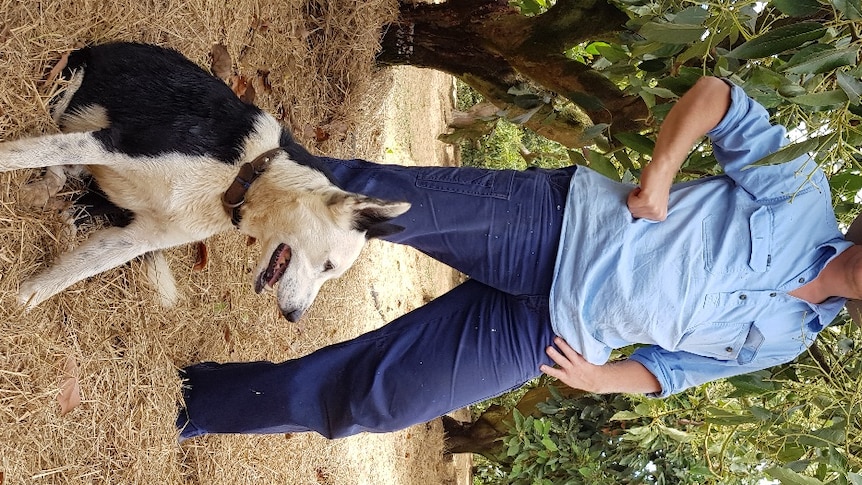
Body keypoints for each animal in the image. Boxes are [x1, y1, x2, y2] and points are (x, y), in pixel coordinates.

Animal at [0, 42, 412, 322]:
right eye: (328, 266)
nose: (295, 318)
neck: (244, 176)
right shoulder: (111, 144)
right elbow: (21, 156)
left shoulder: (137, 238)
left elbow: (62, 278)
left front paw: (17, 302)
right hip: (70, 81)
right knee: (55, 155)